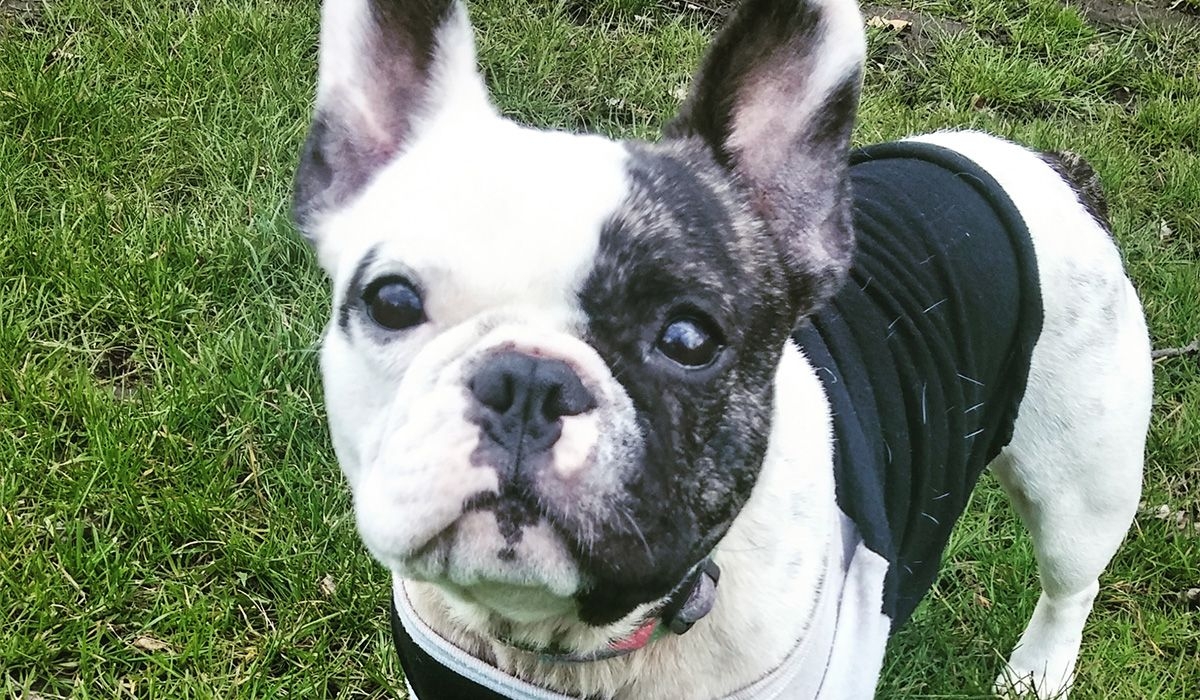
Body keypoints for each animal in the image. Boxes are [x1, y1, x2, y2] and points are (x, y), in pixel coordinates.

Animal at [290, 1, 1152, 696]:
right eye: (391, 301)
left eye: (687, 339)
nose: (528, 382)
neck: (569, 647)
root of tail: (1045, 166)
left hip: (1081, 481)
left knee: (1070, 582)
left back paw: (1038, 673)